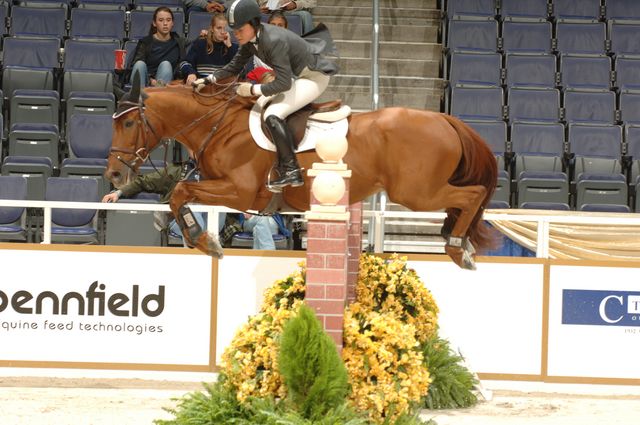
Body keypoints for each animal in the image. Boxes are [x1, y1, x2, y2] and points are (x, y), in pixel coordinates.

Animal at [105, 80, 498, 268]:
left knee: (472, 195)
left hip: (416, 192)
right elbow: (179, 194)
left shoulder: (239, 191)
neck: (219, 126)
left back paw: (457, 246)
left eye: (128, 123)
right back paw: (456, 239)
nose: (113, 174)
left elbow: (180, 192)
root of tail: (445, 119)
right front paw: (196, 237)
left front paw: (205, 242)